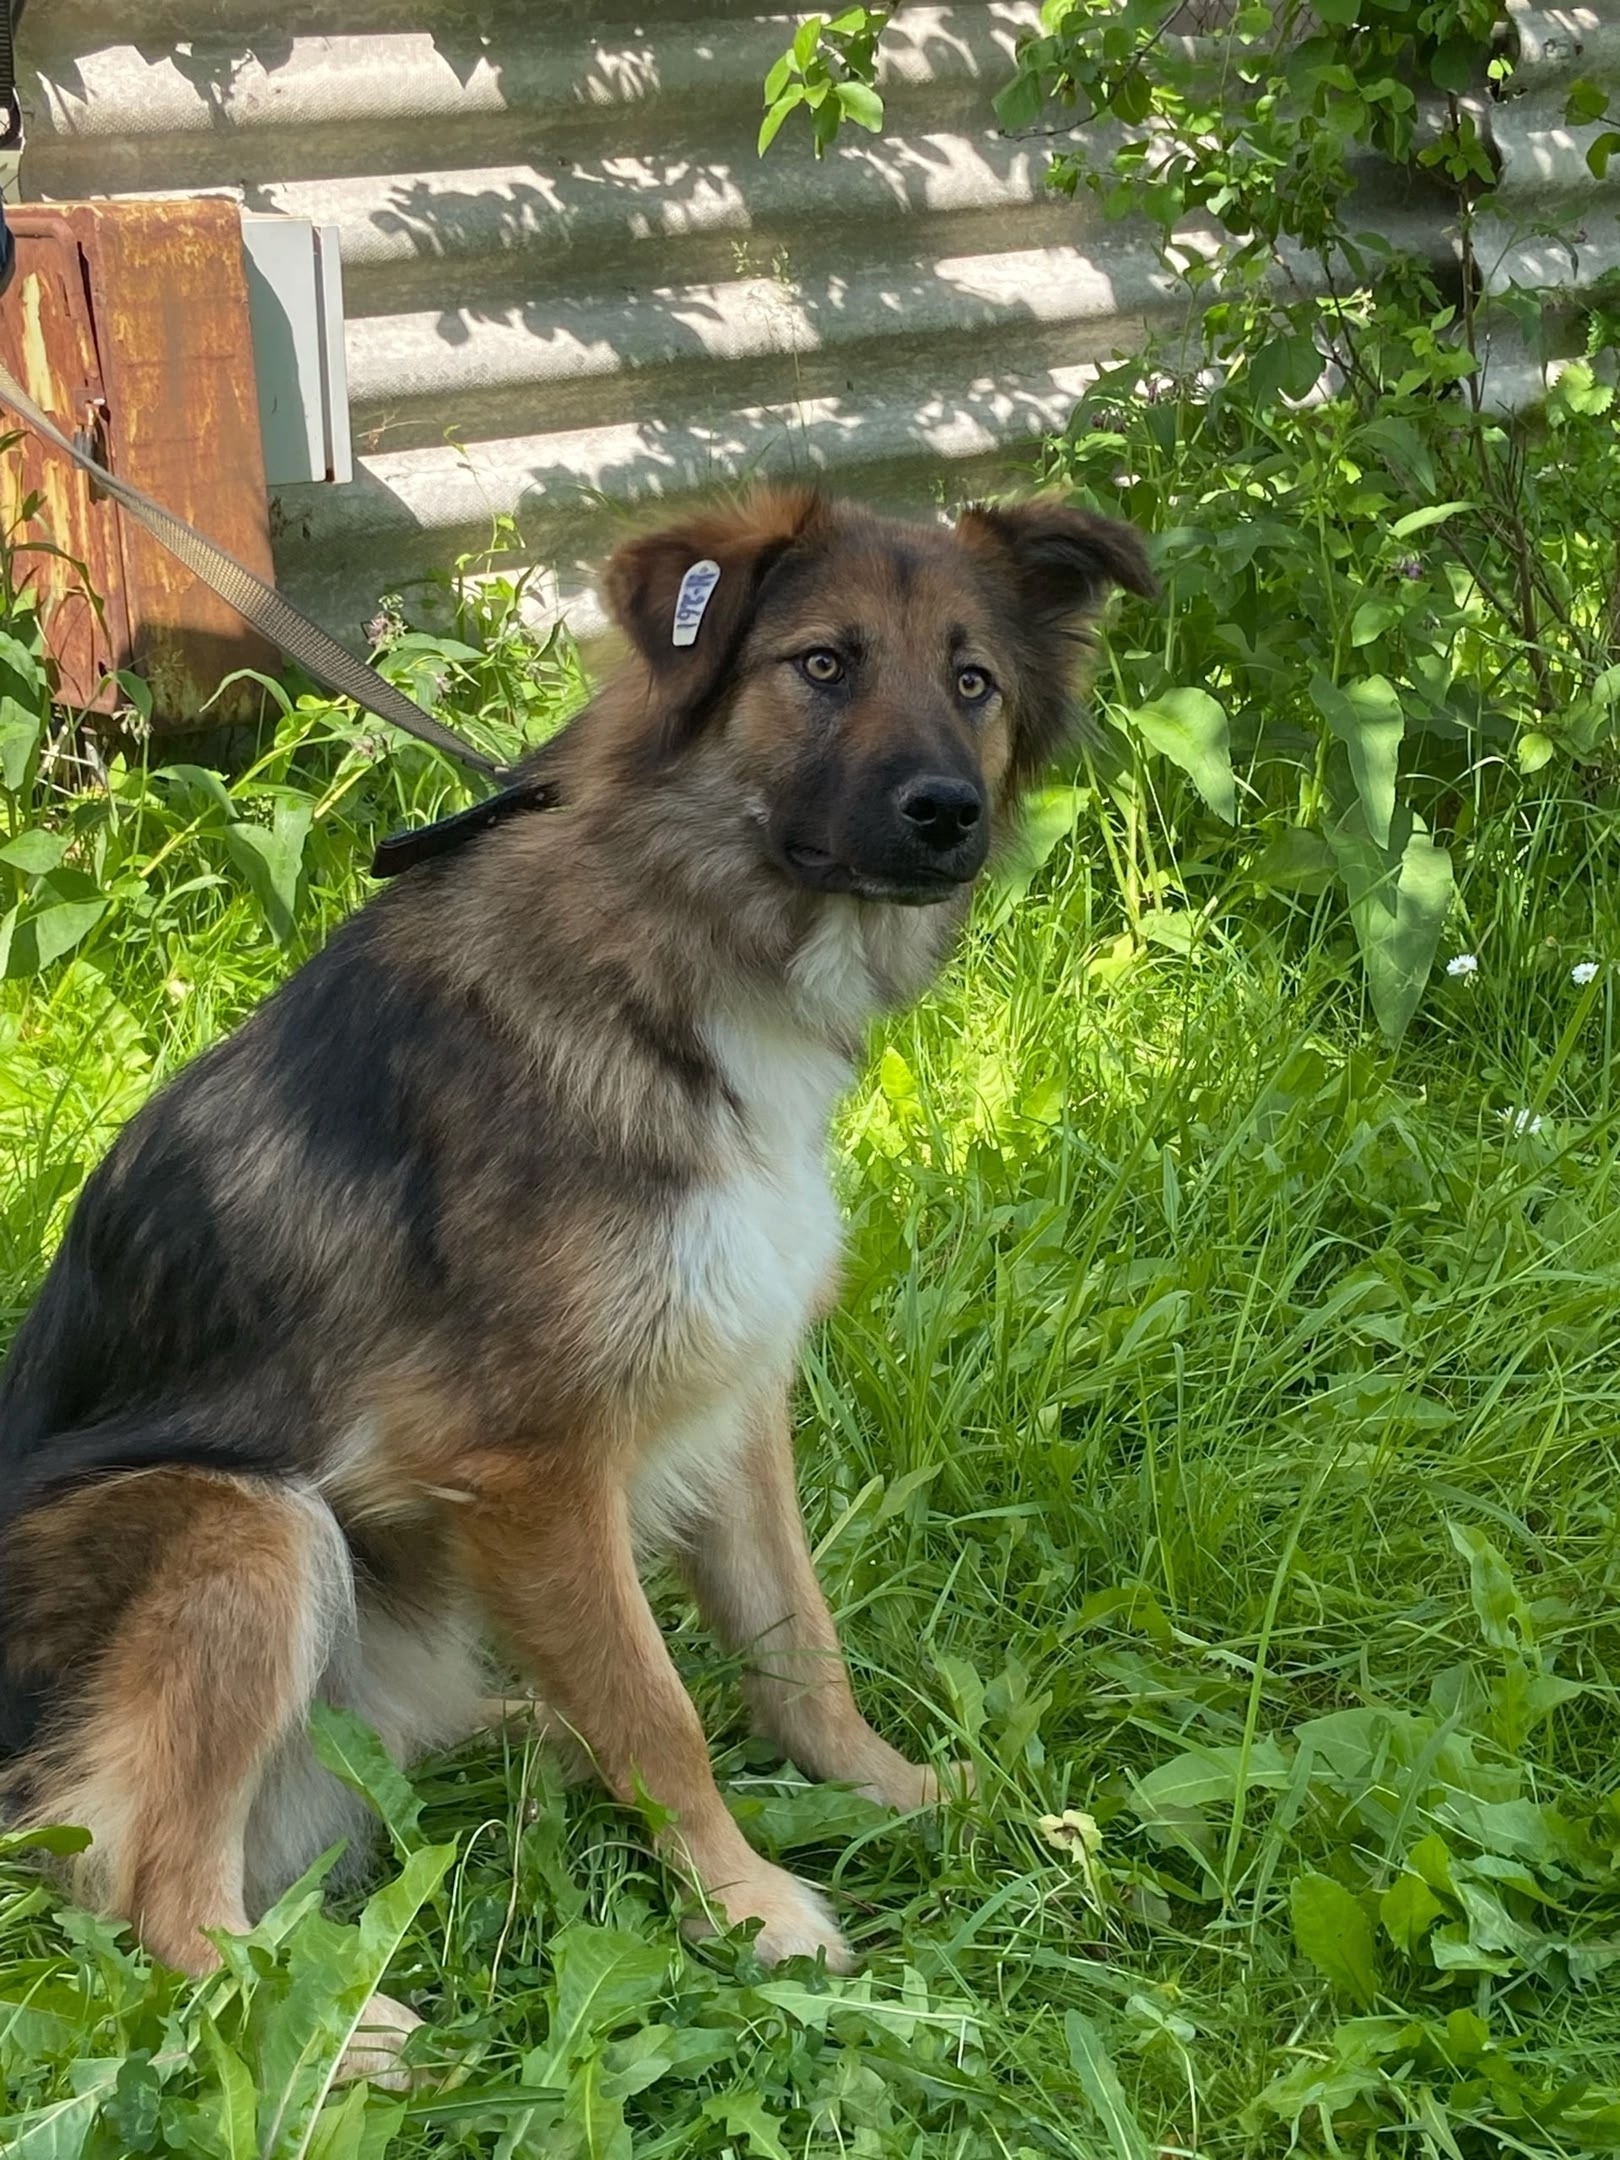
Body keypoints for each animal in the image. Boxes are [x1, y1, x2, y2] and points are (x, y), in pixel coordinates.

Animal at [0, 486, 1153, 2078]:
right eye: (822, 664)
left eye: (972, 681)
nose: (948, 815)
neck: (683, 948)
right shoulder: (532, 1463)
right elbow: (660, 1714)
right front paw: (748, 1905)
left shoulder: (732, 1391)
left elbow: (797, 1649)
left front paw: (902, 1793)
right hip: (250, 1525)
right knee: (140, 1875)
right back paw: (324, 2027)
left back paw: (528, 1738)